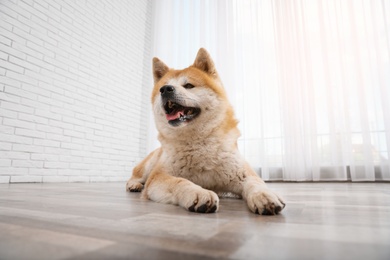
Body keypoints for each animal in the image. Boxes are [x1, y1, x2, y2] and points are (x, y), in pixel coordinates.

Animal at [126, 47, 284, 214]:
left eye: (188, 86)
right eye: (163, 87)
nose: (165, 90)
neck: (198, 143)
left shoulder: (242, 173)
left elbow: (256, 183)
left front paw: (265, 195)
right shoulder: (158, 176)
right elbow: (180, 181)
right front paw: (198, 192)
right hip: (149, 165)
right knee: (136, 174)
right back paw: (134, 184)